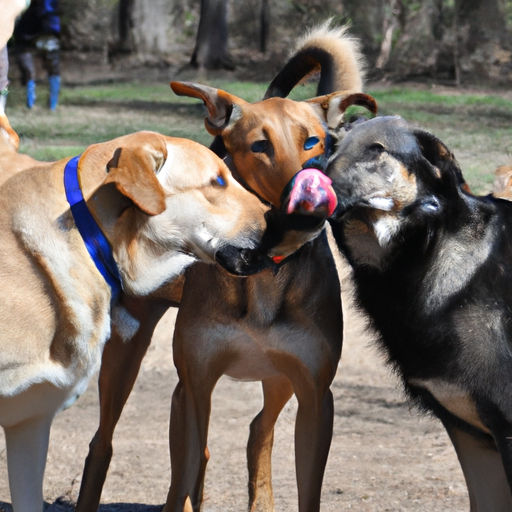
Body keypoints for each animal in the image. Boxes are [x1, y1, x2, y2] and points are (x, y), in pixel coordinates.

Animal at [76, 22, 376, 512]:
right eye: (260, 145)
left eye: (312, 140)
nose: (307, 199)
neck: (262, 270)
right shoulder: (197, 382)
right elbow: (185, 472)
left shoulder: (315, 394)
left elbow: (304, 484)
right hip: (129, 350)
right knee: (107, 442)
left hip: (276, 376)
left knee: (256, 431)